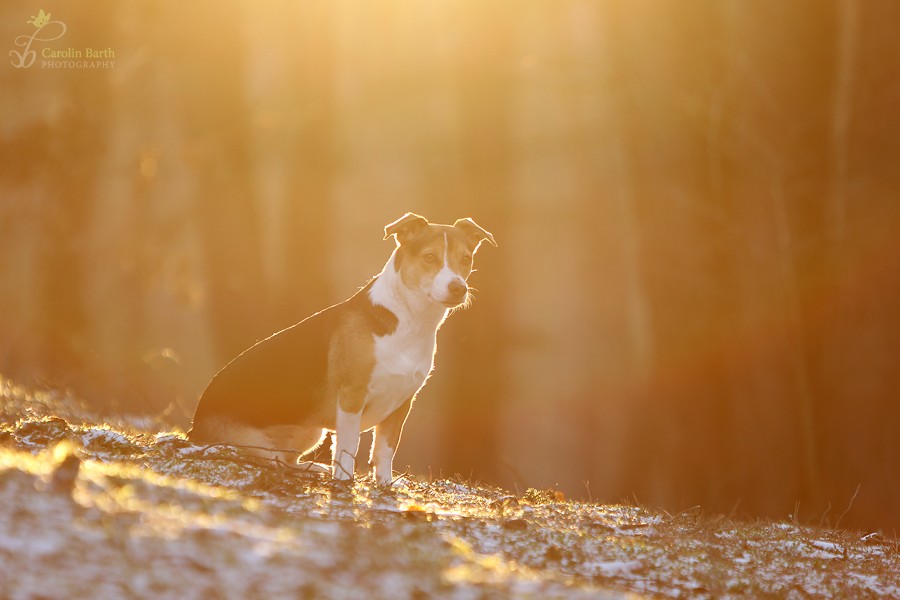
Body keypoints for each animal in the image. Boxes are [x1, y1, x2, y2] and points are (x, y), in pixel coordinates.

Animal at [190, 213, 496, 486]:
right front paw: (345, 481)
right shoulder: (352, 396)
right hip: (255, 444)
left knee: (287, 460)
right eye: (429, 258)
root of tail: (193, 431)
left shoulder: (402, 404)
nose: (458, 288)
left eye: (466, 259)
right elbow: (349, 444)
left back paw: (313, 469)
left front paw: (384, 484)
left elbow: (385, 450)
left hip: (311, 432)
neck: (410, 321)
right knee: (273, 460)